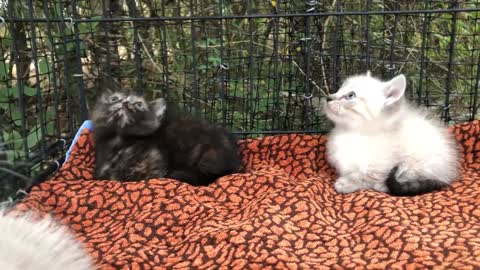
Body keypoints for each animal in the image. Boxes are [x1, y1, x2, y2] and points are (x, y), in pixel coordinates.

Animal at [91, 90, 240, 186]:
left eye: (138, 104)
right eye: (114, 99)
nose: (125, 103)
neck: (119, 141)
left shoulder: (153, 164)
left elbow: (120, 177)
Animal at [324, 71, 460, 196]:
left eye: (350, 95)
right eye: (339, 89)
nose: (328, 97)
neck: (351, 132)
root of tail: (447, 174)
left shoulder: (383, 165)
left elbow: (366, 177)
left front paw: (346, 184)